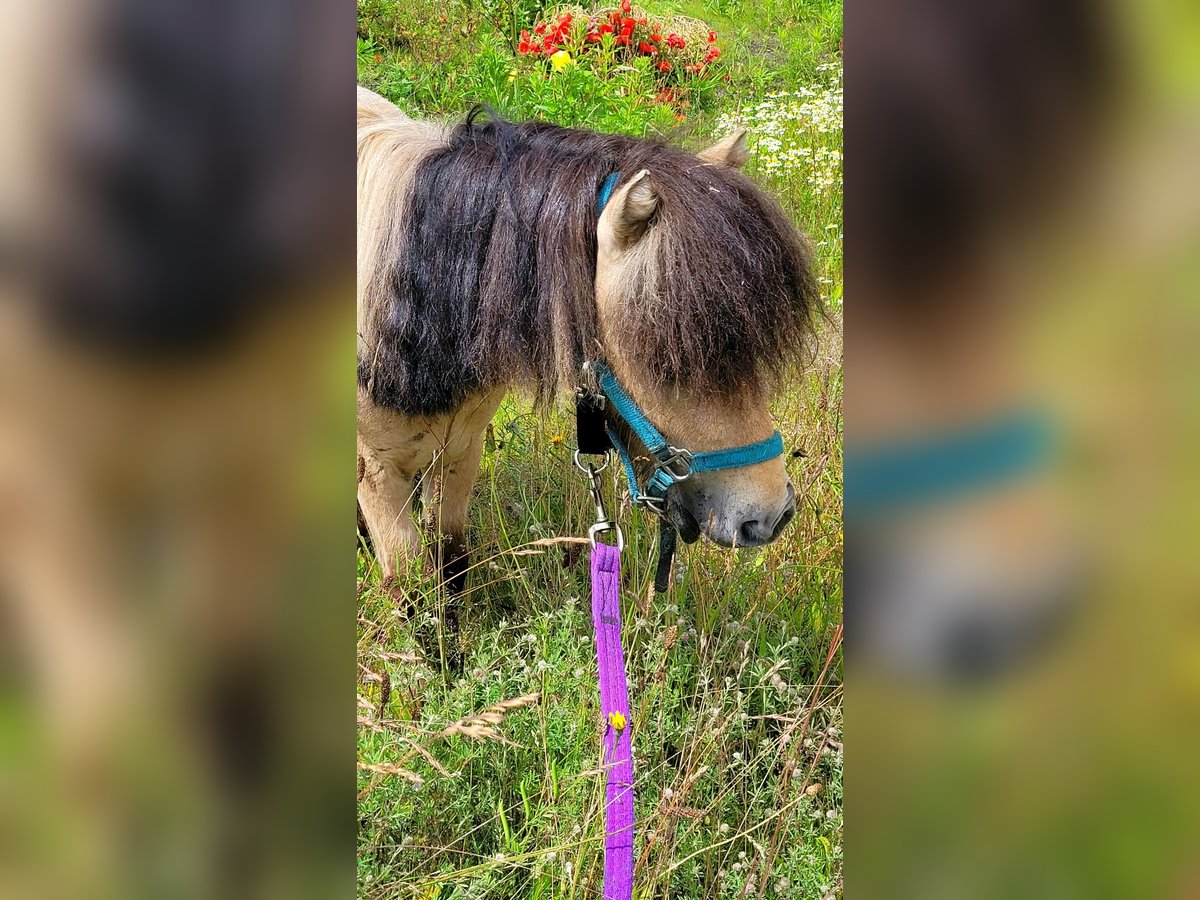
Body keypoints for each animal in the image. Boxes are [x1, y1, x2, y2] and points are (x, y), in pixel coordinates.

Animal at [355, 86, 820, 592]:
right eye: (663, 360)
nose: (771, 517)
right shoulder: (378, 478)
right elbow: (409, 585)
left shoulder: (460, 451)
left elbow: (453, 563)